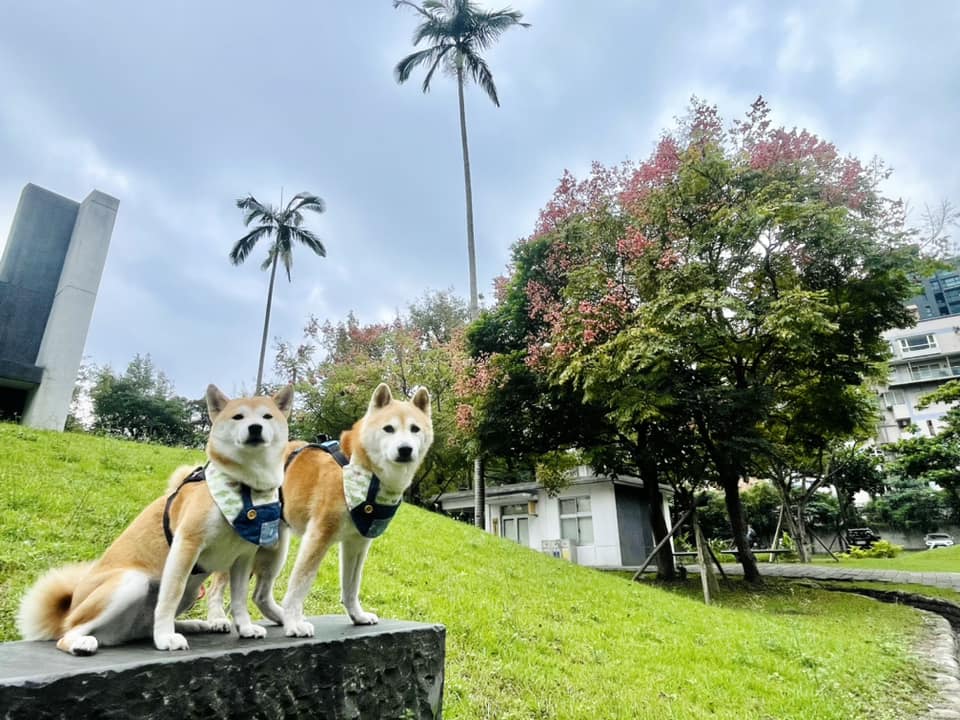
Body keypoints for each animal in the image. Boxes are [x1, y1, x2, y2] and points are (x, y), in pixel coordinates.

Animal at [15, 386, 292, 656]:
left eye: (267, 416)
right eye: (238, 417)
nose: (255, 427)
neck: (245, 488)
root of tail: (72, 605)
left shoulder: (243, 557)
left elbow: (239, 598)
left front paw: (245, 627)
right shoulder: (186, 545)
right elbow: (169, 597)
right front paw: (165, 638)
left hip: (189, 593)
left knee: (145, 628)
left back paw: (194, 624)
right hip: (131, 582)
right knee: (69, 631)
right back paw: (81, 642)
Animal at [212, 382, 436, 636]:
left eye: (415, 429)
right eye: (388, 429)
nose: (405, 449)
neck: (356, 468)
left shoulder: (357, 543)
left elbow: (351, 586)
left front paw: (357, 616)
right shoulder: (318, 535)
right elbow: (299, 584)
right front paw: (293, 622)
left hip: (273, 547)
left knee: (260, 595)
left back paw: (278, 616)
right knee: (217, 586)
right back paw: (218, 618)